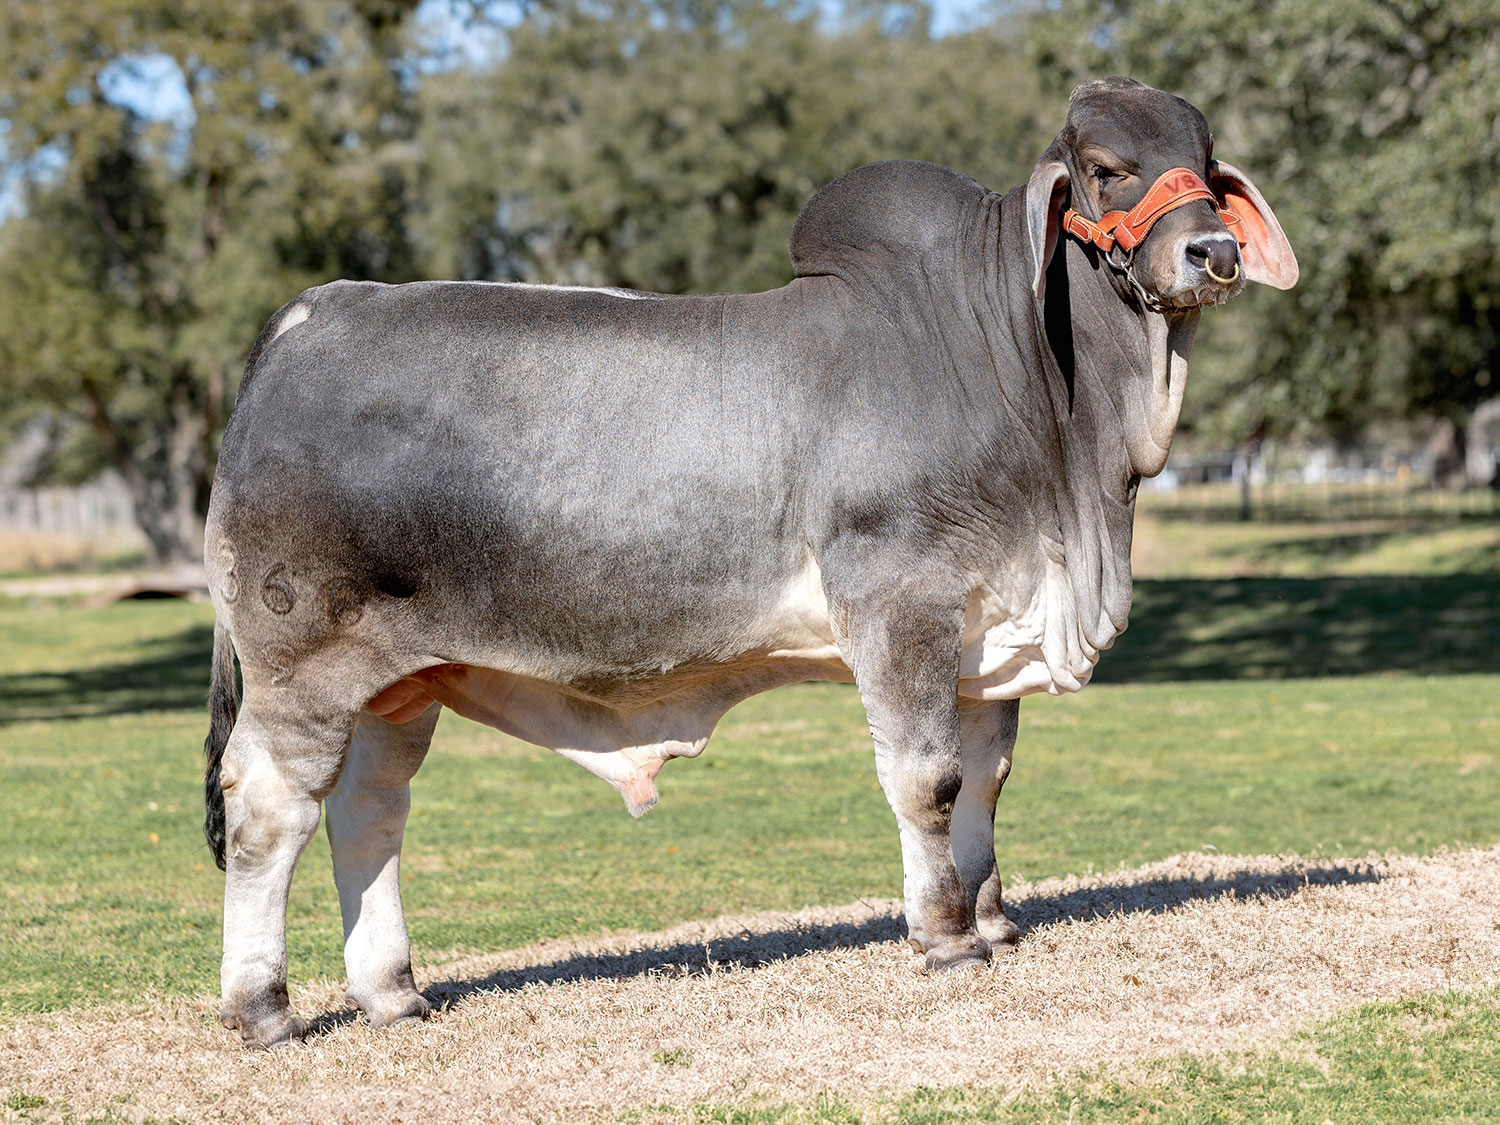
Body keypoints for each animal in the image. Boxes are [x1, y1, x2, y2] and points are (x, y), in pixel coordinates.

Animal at [202, 77, 1302, 1050]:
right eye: (1110, 168)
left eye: (1205, 163)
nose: (1211, 250)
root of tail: (307, 315)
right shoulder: (899, 605)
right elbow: (929, 778)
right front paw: (945, 939)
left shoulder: (986, 628)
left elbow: (987, 779)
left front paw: (992, 920)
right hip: (303, 666)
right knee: (267, 812)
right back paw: (264, 1008)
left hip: (399, 683)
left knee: (368, 815)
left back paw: (392, 992)